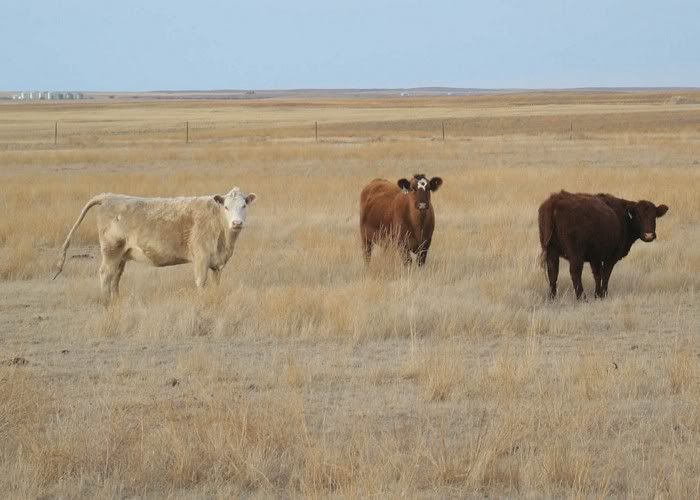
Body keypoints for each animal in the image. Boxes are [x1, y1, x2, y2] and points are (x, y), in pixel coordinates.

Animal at [52, 187, 257, 303]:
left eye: (244, 206)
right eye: (226, 207)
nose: (237, 223)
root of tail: (108, 196)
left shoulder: (217, 264)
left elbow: (216, 284)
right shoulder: (201, 258)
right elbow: (201, 283)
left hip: (121, 255)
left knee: (115, 278)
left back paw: (116, 301)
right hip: (111, 251)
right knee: (105, 274)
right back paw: (105, 303)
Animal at [538, 190, 668, 299]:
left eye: (654, 216)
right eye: (639, 216)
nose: (649, 235)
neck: (622, 217)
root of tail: (555, 200)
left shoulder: (595, 257)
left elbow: (597, 274)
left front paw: (597, 294)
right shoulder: (610, 257)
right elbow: (606, 274)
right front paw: (603, 294)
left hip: (551, 251)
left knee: (553, 272)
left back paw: (552, 297)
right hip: (576, 255)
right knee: (575, 272)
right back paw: (582, 298)